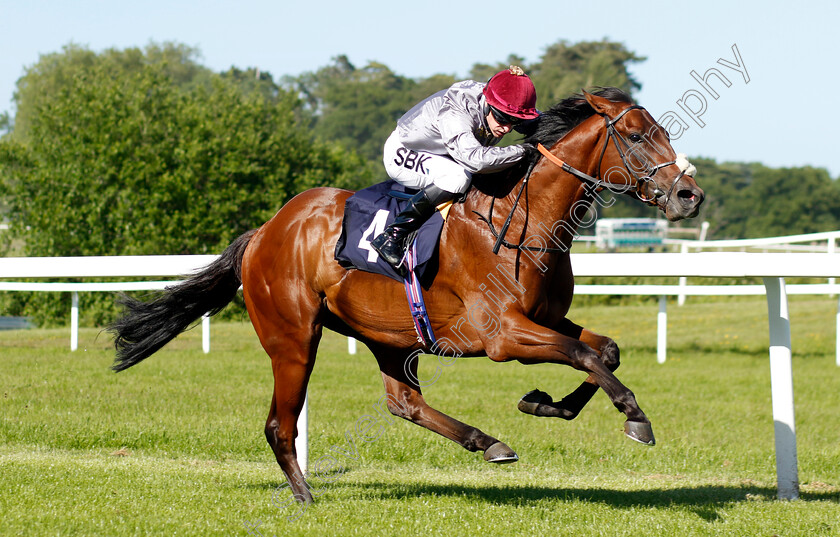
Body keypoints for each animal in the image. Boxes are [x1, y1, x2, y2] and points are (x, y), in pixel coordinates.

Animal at [108, 87, 704, 502]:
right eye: (635, 136)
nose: (689, 194)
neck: (523, 223)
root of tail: (264, 231)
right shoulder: (502, 336)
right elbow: (584, 354)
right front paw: (634, 416)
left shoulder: (545, 319)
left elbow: (604, 351)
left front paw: (545, 403)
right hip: (293, 339)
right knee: (281, 424)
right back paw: (304, 496)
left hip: (389, 335)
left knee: (404, 402)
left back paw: (488, 442)